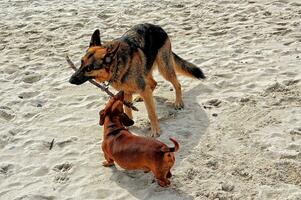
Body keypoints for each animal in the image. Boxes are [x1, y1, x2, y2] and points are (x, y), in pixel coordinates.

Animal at [69, 22, 204, 137]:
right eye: (81, 62)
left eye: (89, 68)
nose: (70, 80)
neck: (117, 64)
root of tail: (157, 27)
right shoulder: (126, 92)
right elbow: (127, 110)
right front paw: (127, 125)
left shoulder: (140, 88)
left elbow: (151, 113)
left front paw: (155, 130)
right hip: (146, 71)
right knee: (153, 83)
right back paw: (140, 96)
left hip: (164, 69)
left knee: (177, 84)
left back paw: (178, 102)